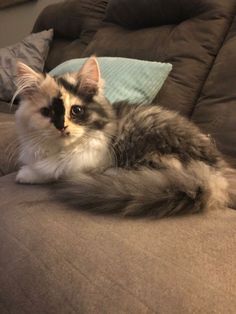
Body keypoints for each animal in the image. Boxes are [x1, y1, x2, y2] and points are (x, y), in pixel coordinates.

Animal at [14, 56, 229, 217]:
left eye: (76, 110)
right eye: (47, 112)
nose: (61, 127)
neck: (63, 149)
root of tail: (218, 175)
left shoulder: (88, 161)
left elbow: (50, 171)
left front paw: (24, 175)